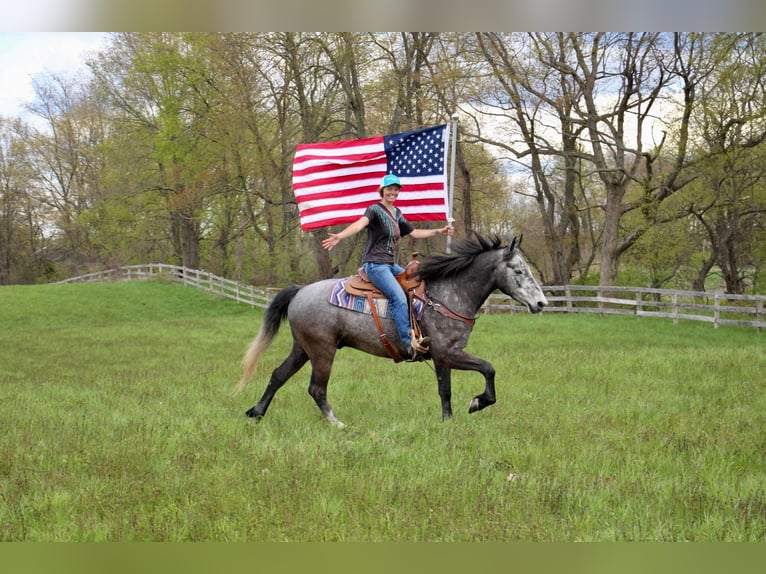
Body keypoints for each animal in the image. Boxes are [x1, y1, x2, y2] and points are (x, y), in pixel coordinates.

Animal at [234, 234, 544, 428]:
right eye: (518, 271)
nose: (541, 303)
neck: (446, 294)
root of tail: (300, 290)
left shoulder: (441, 358)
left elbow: (445, 391)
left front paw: (448, 421)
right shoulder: (448, 353)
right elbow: (488, 369)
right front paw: (477, 403)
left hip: (302, 348)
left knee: (278, 375)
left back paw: (256, 413)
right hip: (322, 351)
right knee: (316, 389)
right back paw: (337, 424)